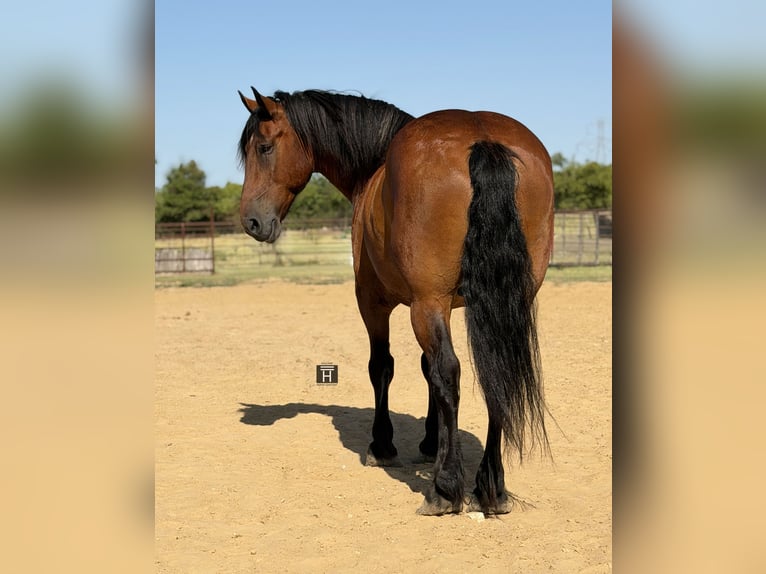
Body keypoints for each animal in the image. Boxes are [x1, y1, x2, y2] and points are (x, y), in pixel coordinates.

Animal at [236, 88, 554, 515]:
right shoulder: (447, 305)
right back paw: (491, 486)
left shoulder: (376, 303)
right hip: (501, 302)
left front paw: (383, 444)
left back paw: (445, 488)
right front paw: (431, 442)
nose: (250, 221)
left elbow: (384, 367)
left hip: (425, 304)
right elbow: (426, 370)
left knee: (449, 372)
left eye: (264, 147)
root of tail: (482, 138)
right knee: (495, 374)